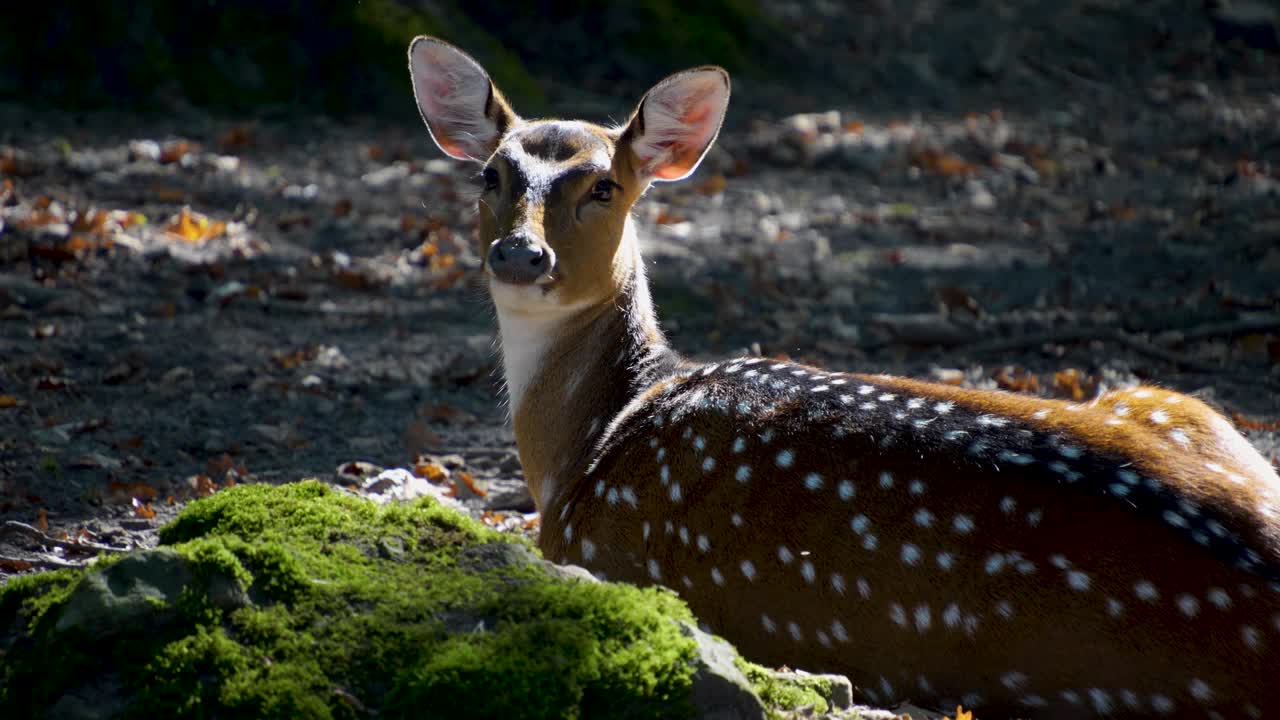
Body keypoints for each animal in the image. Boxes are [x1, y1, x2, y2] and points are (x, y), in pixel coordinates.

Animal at [407, 36, 1280, 712]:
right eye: (490, 175)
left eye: (603, 184)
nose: (521, 254)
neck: (592, 437)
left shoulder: (601, 561)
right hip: (1177, 405)